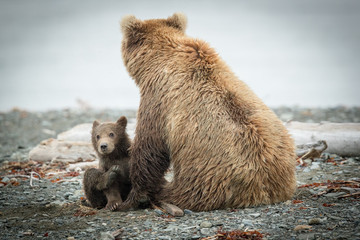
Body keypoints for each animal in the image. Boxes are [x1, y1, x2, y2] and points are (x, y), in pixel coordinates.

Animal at [119, 13, 296, 212]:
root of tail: (264, 191)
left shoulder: (158, 99)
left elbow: (149, 147)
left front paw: (130, 199)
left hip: (206, 178)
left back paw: (162, 193)